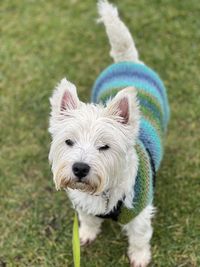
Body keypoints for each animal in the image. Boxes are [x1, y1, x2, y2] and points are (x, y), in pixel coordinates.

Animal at [48, 1, 169, 266]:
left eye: (104, 146)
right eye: (69, 141)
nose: (80, 168)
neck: (103, 193)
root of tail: (126, 60)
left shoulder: (140, 213)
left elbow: (140, 237)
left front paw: (140, 257)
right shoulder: (82, 203)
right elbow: (88, 219)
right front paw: (86, 235)